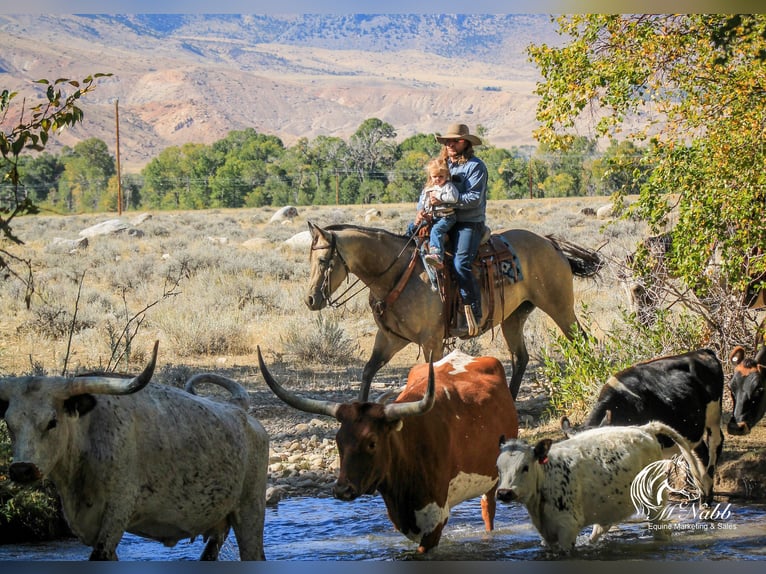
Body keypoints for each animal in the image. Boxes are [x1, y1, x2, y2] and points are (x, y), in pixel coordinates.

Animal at [0, 342, 270, 564]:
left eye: (52, 422)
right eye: (9, 424)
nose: (22, 469)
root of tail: (239, 411)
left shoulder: (116, 514)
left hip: (250, 511)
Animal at [260, 348, 520, 556]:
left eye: (372, 442)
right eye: (338, 441)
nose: (342, 490)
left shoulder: (434, 520)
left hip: (493, 479)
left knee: (488, 510)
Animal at [306, 223, 608, 402]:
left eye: (322, 261)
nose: (310, 299)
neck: (399, 274)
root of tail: (549, 242)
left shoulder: (431, 342)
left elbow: (431, 380)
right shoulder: (390, 338)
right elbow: (368, 372)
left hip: (560, 307)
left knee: (582, 340)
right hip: (514, 317)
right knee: (520, 357)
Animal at [498, 424, 708, 552]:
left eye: (525, 467)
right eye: (498, 467)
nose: (504, 493)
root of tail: (644, 428)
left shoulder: (567, 527)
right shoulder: (547, 535)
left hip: (653, 504)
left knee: (661, 532)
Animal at [568, 346, 728, 504]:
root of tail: (702, 351)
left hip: (713, 414)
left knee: (715, 444)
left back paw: (707, 493)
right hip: (691, 430)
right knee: (699, 453)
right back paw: (704, 492)